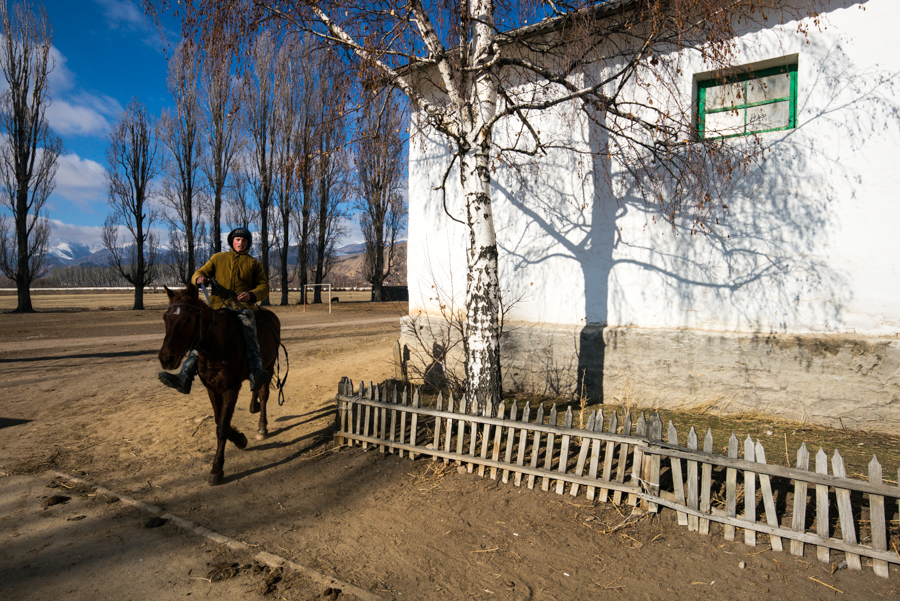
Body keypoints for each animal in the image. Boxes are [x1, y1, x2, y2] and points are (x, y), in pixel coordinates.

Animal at [158, 284, 281, 485]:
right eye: (165, 317)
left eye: (189, 318)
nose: (166, 358)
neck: (217, 346)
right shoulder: (212, 388)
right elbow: (218, 420)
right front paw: (239, 438)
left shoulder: (231, 389)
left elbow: (222, 425)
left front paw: (217, 467)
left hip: (269, 366)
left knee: (264, 395)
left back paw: (262, 427)